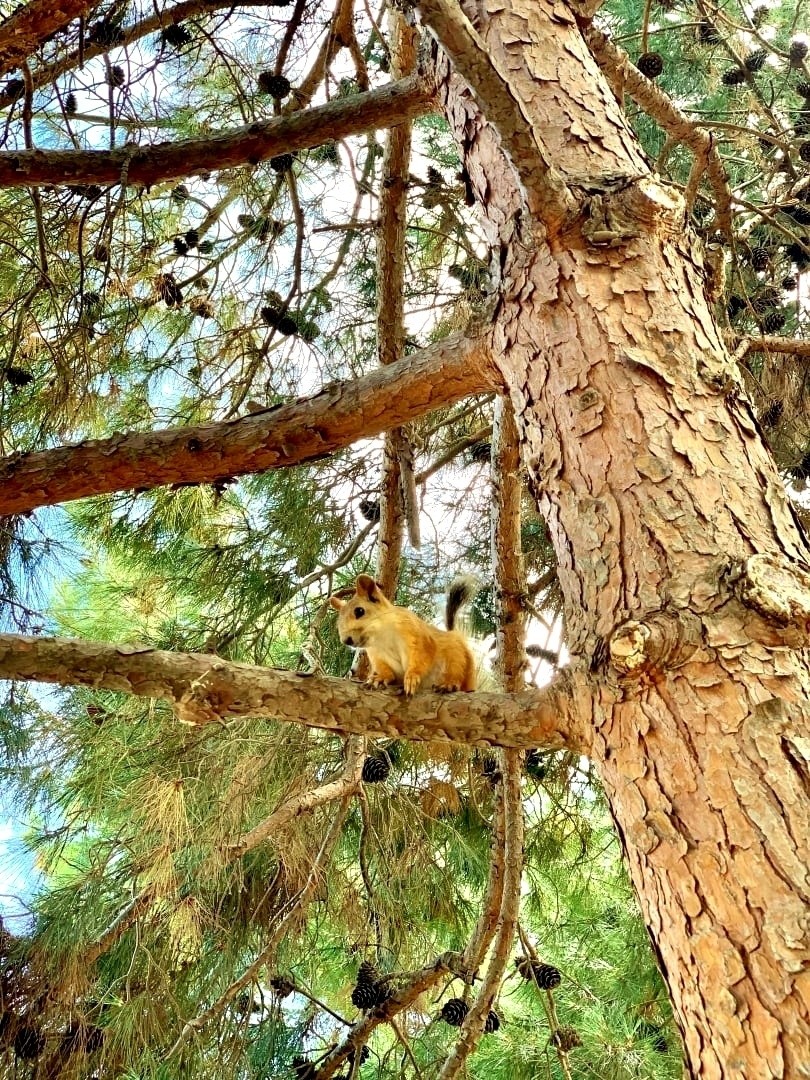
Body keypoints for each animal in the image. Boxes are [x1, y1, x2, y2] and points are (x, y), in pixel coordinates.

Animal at [329, 574, 477, 695]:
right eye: (338, 622)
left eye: (359, 611)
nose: (346, 640)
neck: (381, 637)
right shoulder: (376, 654)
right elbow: (384, 668)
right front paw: (381, 677)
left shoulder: (416, 635)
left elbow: (422, 656)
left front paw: (412, 676)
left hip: (456, 657)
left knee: (457, 671)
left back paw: (449, 684)